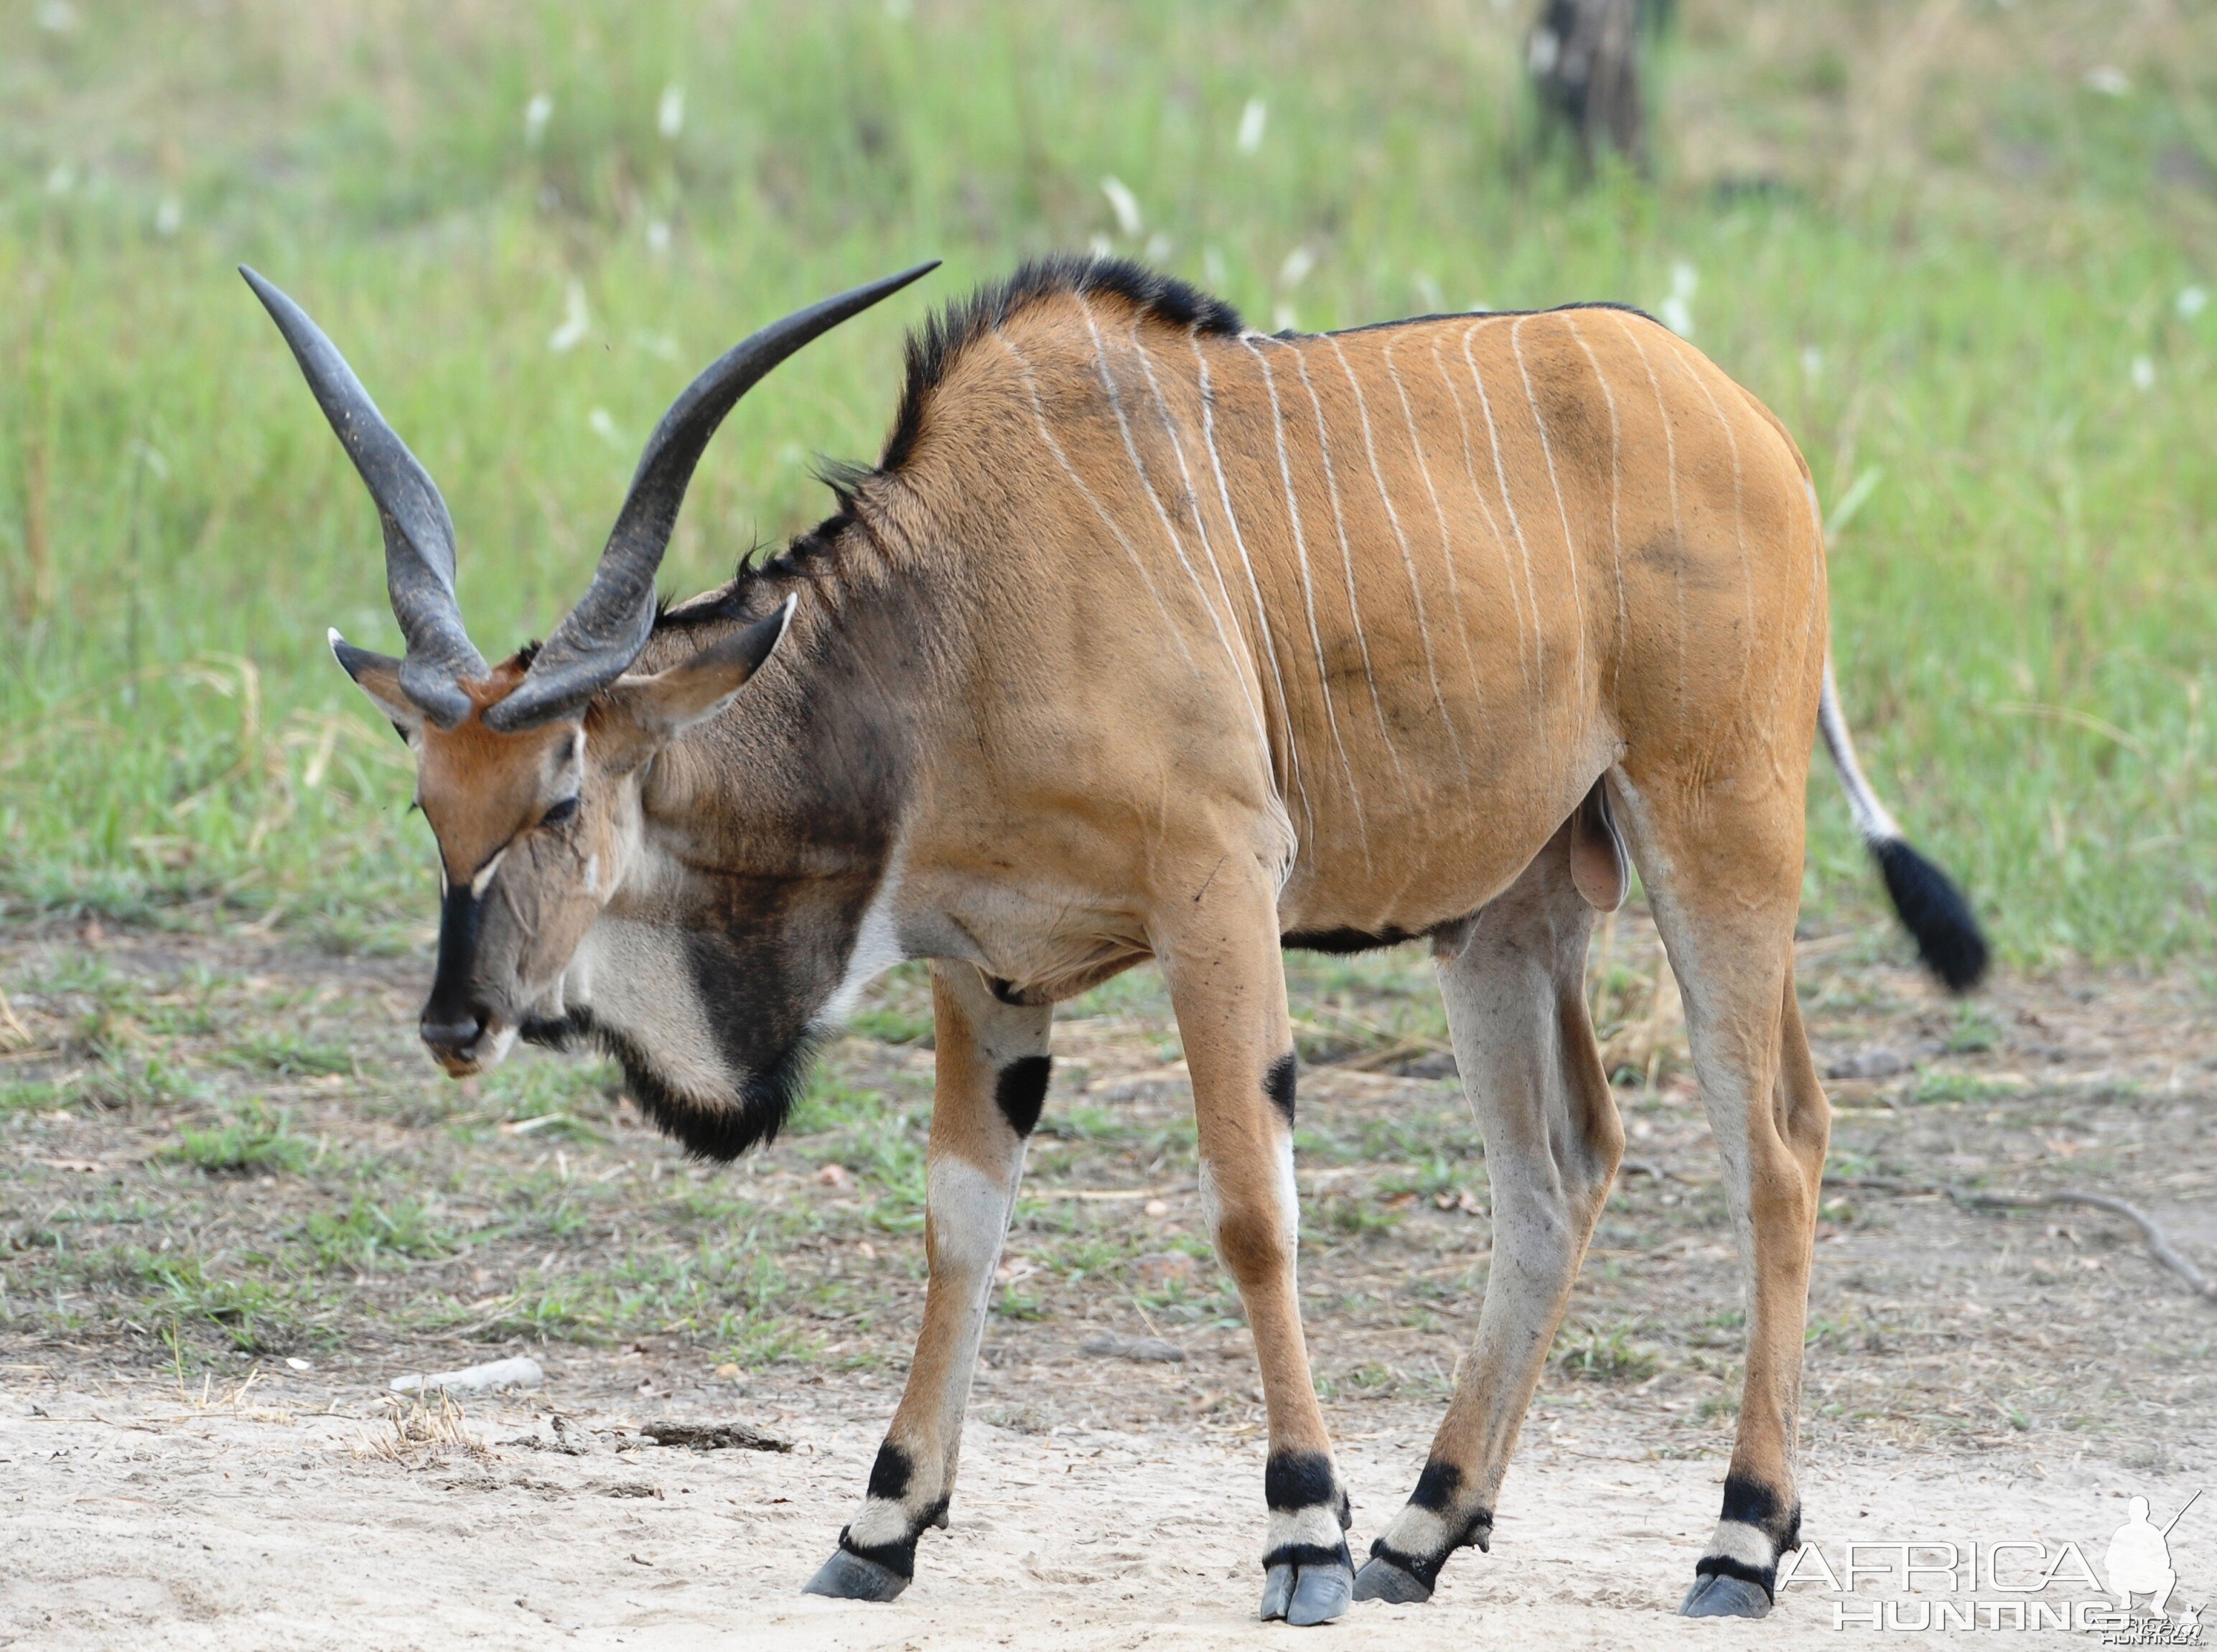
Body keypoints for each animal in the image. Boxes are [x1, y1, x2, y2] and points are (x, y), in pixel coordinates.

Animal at [251, 257, 1986, 1623]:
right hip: (1505, 913)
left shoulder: (1215, 886)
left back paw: (1735, 1542)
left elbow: (1248, 1202)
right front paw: (880, 1523)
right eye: (426, 799)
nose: (456, 1019)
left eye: (560, 792)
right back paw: (1423, 1529)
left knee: (1774, 1139)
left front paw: (1297, 1532)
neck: (953, 625)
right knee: (1560, 1162)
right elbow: (960, 1221)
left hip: (1716, 836)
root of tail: (1743, 417)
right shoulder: (987, 972)